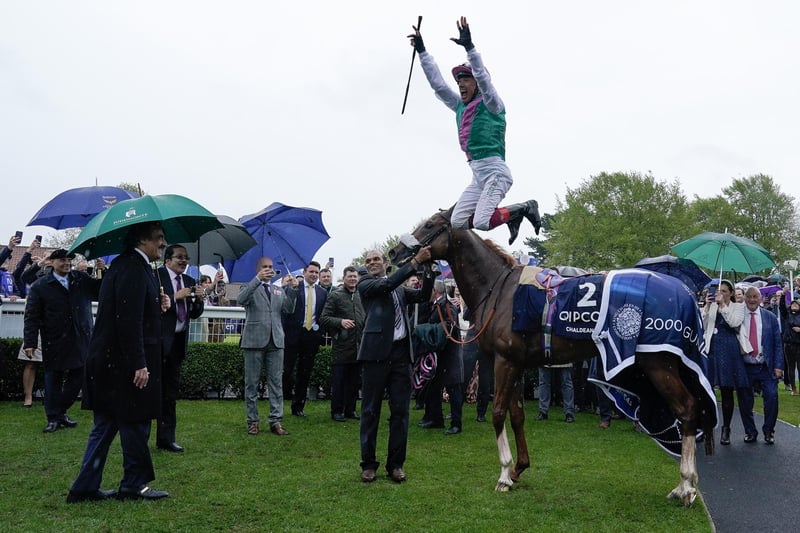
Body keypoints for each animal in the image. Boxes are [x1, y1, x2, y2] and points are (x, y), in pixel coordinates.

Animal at [390, 206, 716, 504]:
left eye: (430, 224)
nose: (395, 252)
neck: (500, 290)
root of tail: (685, 292)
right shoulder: (518, 364)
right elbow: (517, 415)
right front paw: (518, 469)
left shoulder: (503, 362)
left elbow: (498, 413)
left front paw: (503, 474)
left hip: (658, 364)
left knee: (687, 409)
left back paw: (686, 487)